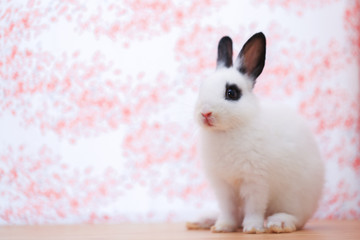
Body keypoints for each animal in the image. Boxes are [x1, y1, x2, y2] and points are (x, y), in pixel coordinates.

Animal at [190, 32, 324, 233]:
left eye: (231, 93)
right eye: (201, 88)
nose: (205, 113)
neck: (228, 131)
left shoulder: (255, 182)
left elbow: (254, 207)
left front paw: (253, 228)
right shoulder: (223, 186)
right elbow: (229, 209)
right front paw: (222, 227)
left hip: (294, 199)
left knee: (297, 218)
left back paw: (278, 223)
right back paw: (204, 221)